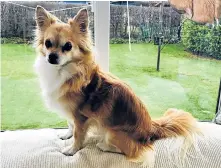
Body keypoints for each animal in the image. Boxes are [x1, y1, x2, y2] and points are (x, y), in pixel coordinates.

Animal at [34, 6, 200, 165]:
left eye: (68, 46)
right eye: (48, 43)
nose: (52, 56)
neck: (64, 71)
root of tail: (150, 128)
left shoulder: (80, 116)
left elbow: (78, 134)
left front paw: (72, 149)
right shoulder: (70, 112)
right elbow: (70, 124)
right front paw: (66, 134)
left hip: (111, 132)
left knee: (132, 151)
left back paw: (104, 146)